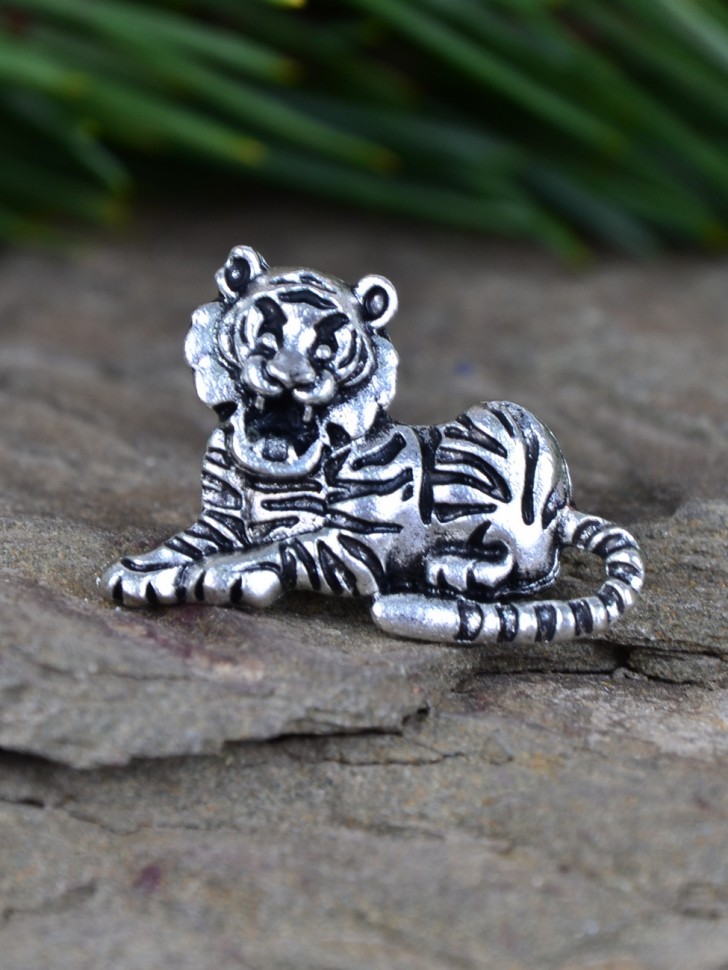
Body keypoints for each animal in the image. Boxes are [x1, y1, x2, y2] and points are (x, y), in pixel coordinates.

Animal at [100, 245, 644, 645]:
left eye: (327, 345)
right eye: (268, 332)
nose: (290, 378)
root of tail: (563, 505)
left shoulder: (362, 546)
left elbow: (275, 550)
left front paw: (210, 579)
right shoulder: (219, 521)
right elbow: (177, 546)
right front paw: (135, 570)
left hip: (511, 431)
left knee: (521, 553)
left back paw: (452, 566)